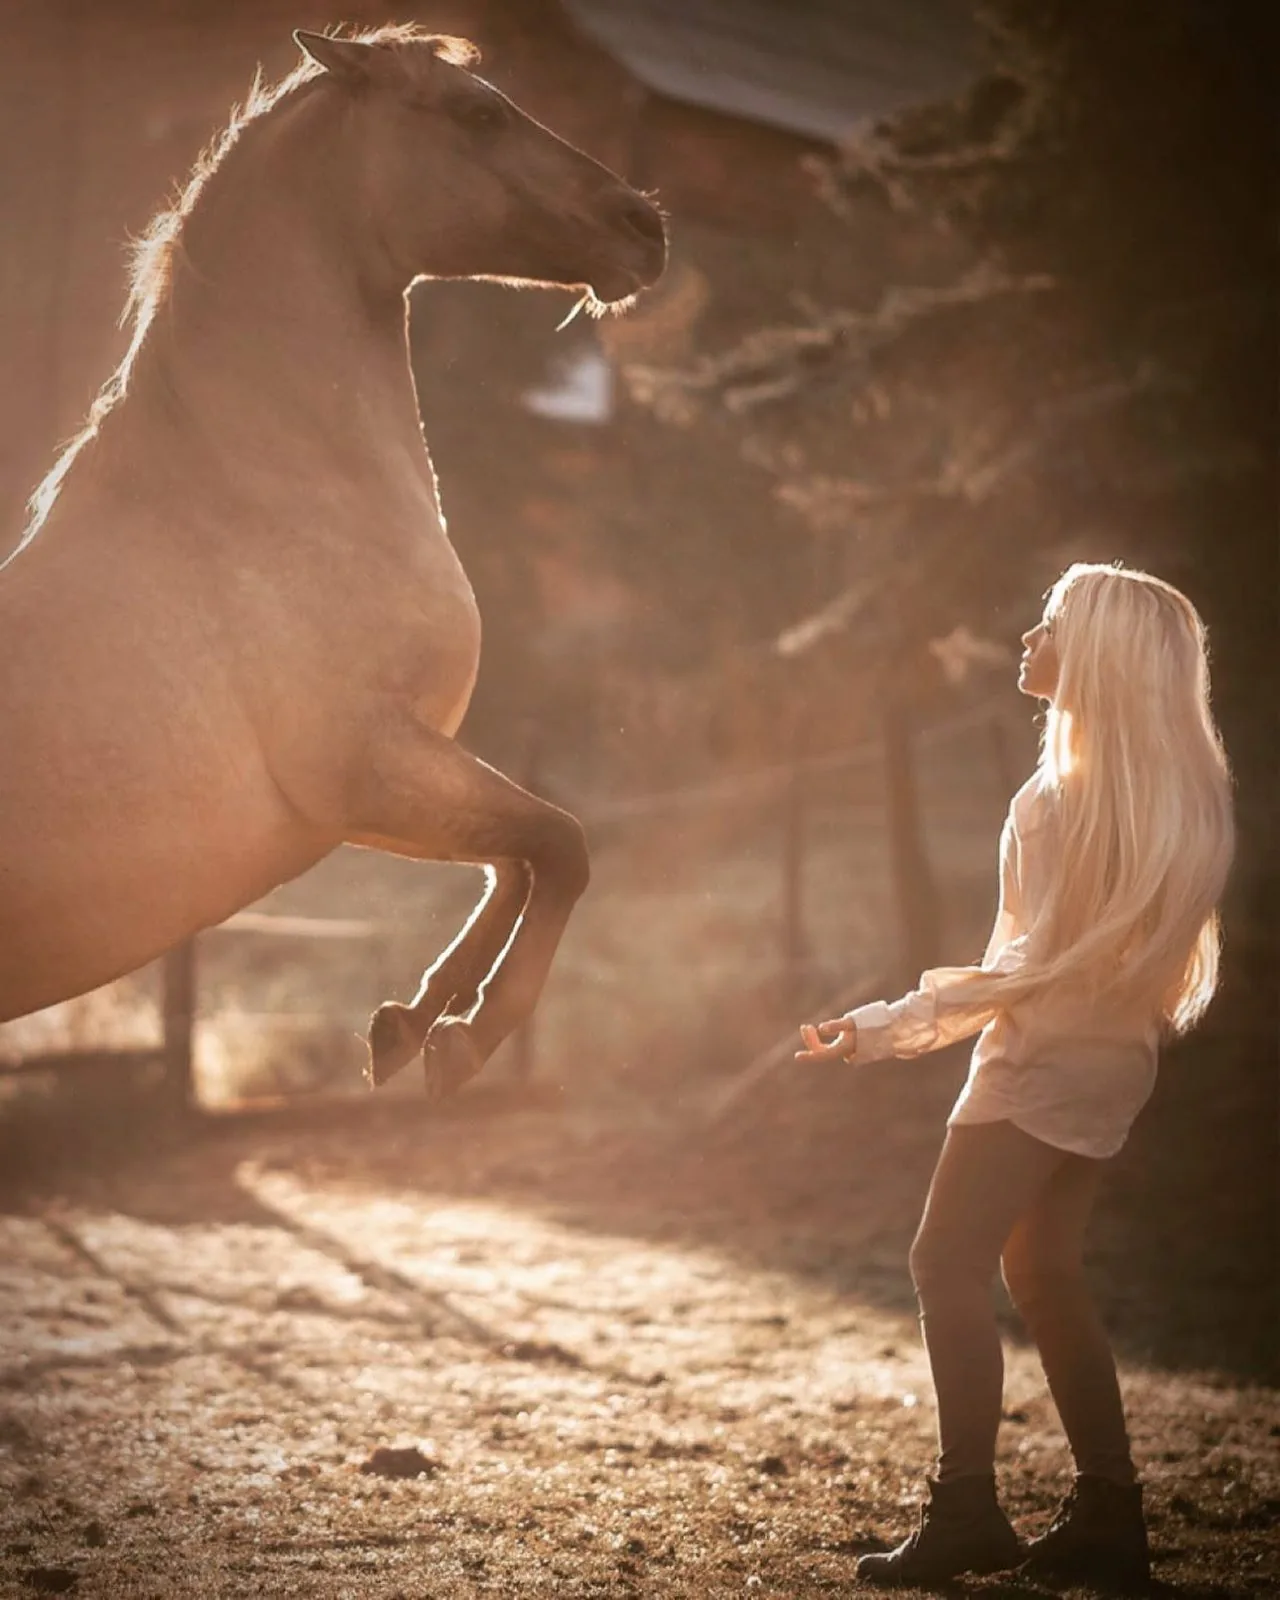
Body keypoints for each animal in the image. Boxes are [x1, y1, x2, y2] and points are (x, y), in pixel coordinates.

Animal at [0, 26, 667, 1098]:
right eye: (479, 112)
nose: (645, 226)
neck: (267, 489)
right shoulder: (366, 765)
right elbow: (562, 845)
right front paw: (467, 1037)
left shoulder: (381, 792)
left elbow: (515, 856)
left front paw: (407, 1023)